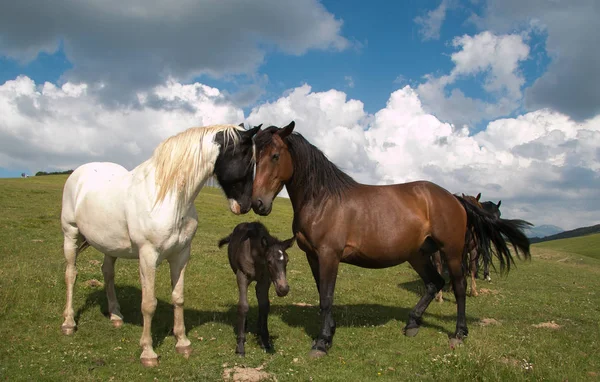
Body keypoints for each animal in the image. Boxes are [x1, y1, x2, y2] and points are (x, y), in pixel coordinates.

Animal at [59, 124, 262, 366]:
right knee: (71, 274)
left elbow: (178, 298)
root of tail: (79, 173)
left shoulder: (181, 255)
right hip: (70, 234)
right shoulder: (148, 256)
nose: (246, 206)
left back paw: (116, 315)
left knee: (107, 273)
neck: (169, 197)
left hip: (110, 245)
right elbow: (148, 304)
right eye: (248, 160)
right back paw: (68, 323)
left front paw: (182, 343)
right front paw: (148, 352)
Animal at [251, 123, 532, 358]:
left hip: (451, 252)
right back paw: (412, 323)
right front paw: (329, 332)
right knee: (434, 283)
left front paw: (321, 343)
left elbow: (327, 298)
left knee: (459, 287)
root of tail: (454, 198)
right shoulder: (313, 256)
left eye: (275, 156)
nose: (258, 203)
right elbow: (323, 294)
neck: (323, 200)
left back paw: (459, 334)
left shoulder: (329, 255)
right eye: (255, 158)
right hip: (418, 254)